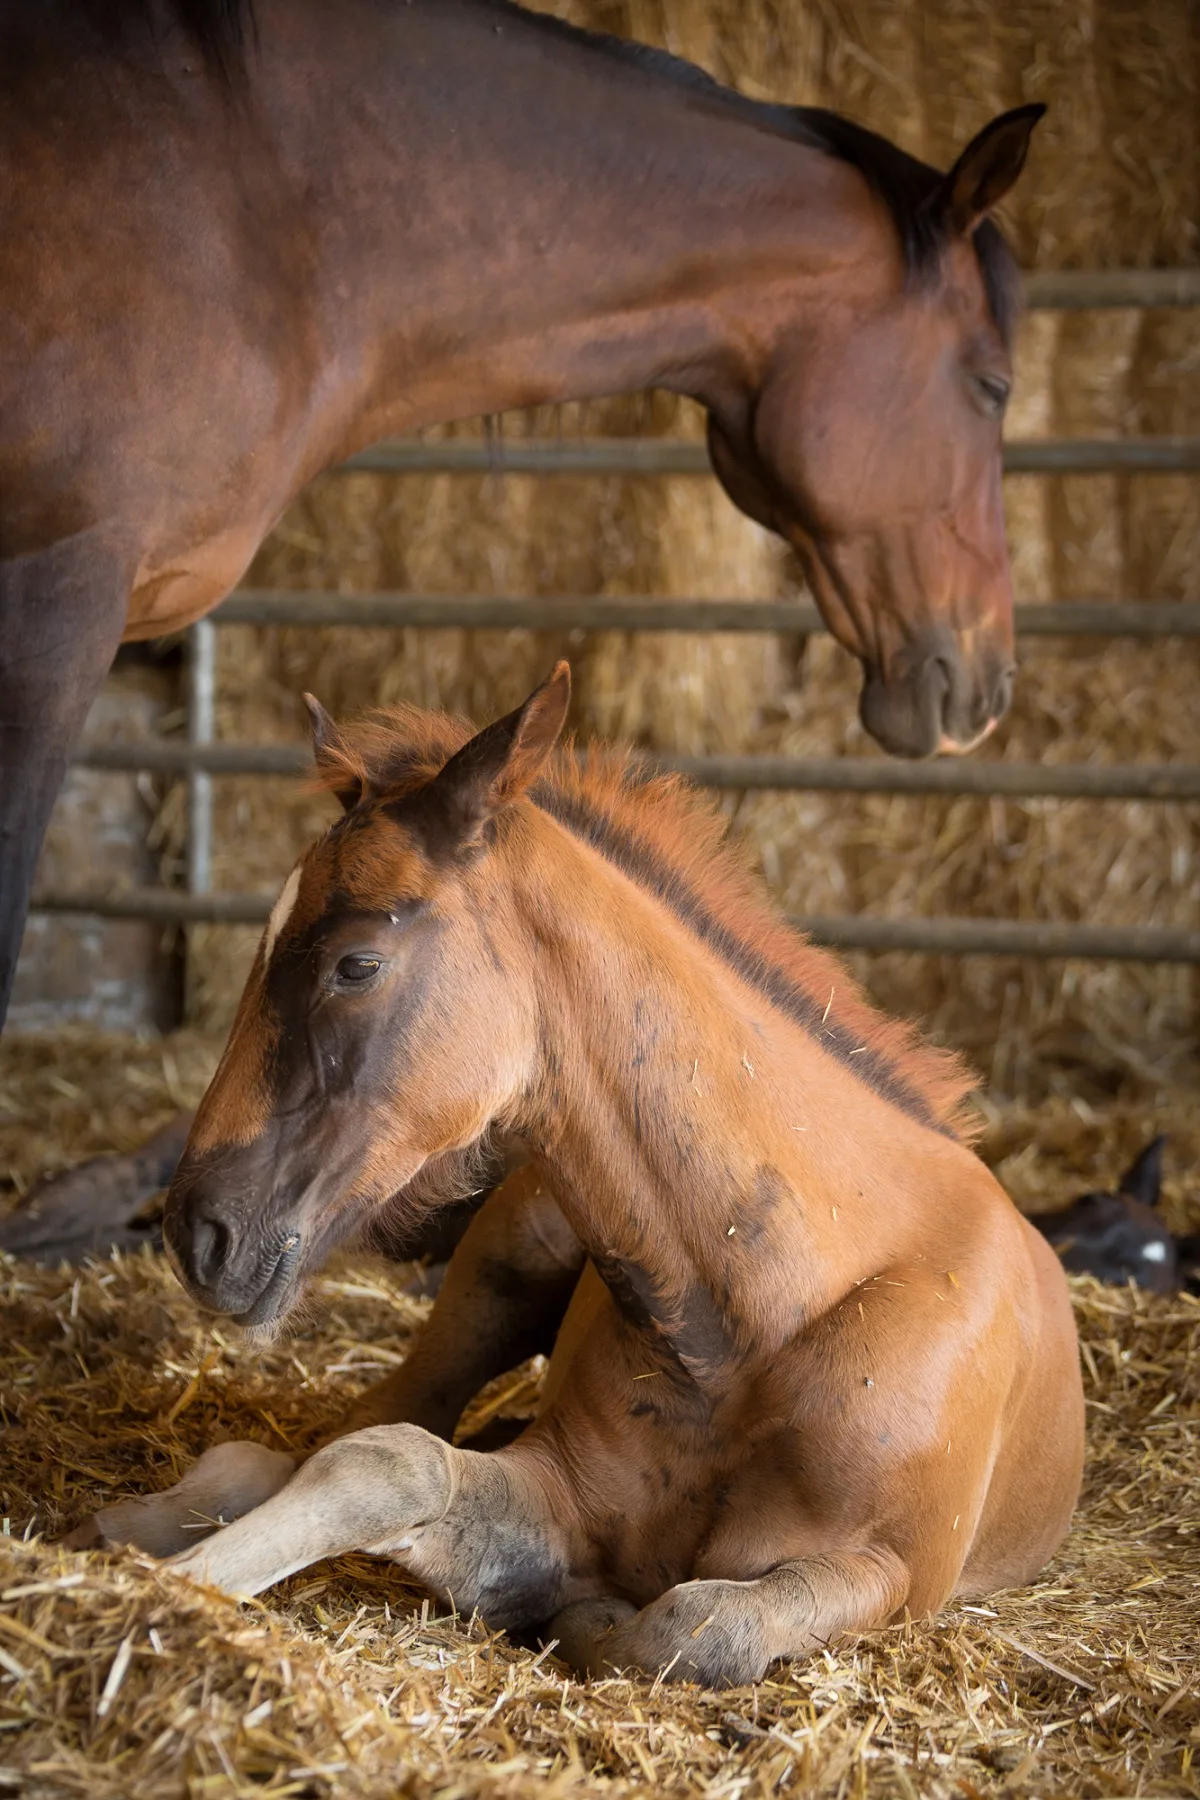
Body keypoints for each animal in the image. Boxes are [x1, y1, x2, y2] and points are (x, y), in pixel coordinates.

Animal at [75, 666, 1086, 1684]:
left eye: (356, 964)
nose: (199, 1233)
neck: (769, 1313)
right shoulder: (557, 1485)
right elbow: (388, 1461)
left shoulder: (889, 1574)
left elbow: (689, 1626)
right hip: (499, 1266)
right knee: (348, 1425)